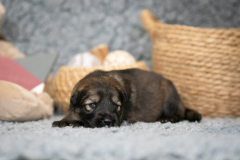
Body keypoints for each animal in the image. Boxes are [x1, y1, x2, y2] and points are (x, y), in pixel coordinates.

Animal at [52, 69, 201, 127]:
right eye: (92, 105)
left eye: (116, 106)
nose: (108, 121)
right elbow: (69, 115)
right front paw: (62, 121)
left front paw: (75, 123)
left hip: (170, 99)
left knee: (180, 115)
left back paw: (168, 118)